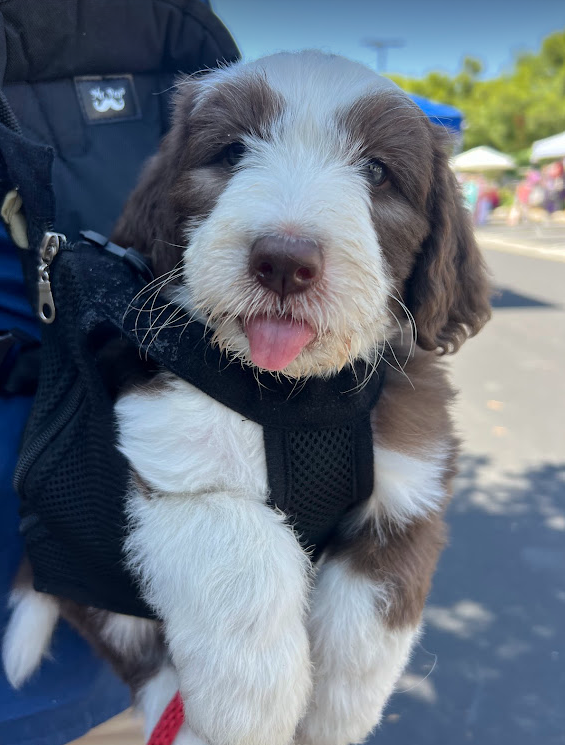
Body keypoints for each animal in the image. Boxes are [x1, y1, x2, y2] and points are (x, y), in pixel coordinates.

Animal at [3, 52, 490, 744]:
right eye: (232, 152)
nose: (284, 260)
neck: (294, 393)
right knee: (143, 659)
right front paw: (253, 707)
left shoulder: (408, 488)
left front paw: (333, 716)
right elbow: (243, 547)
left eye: (377, 171)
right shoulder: (169, 447)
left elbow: (370, 614)